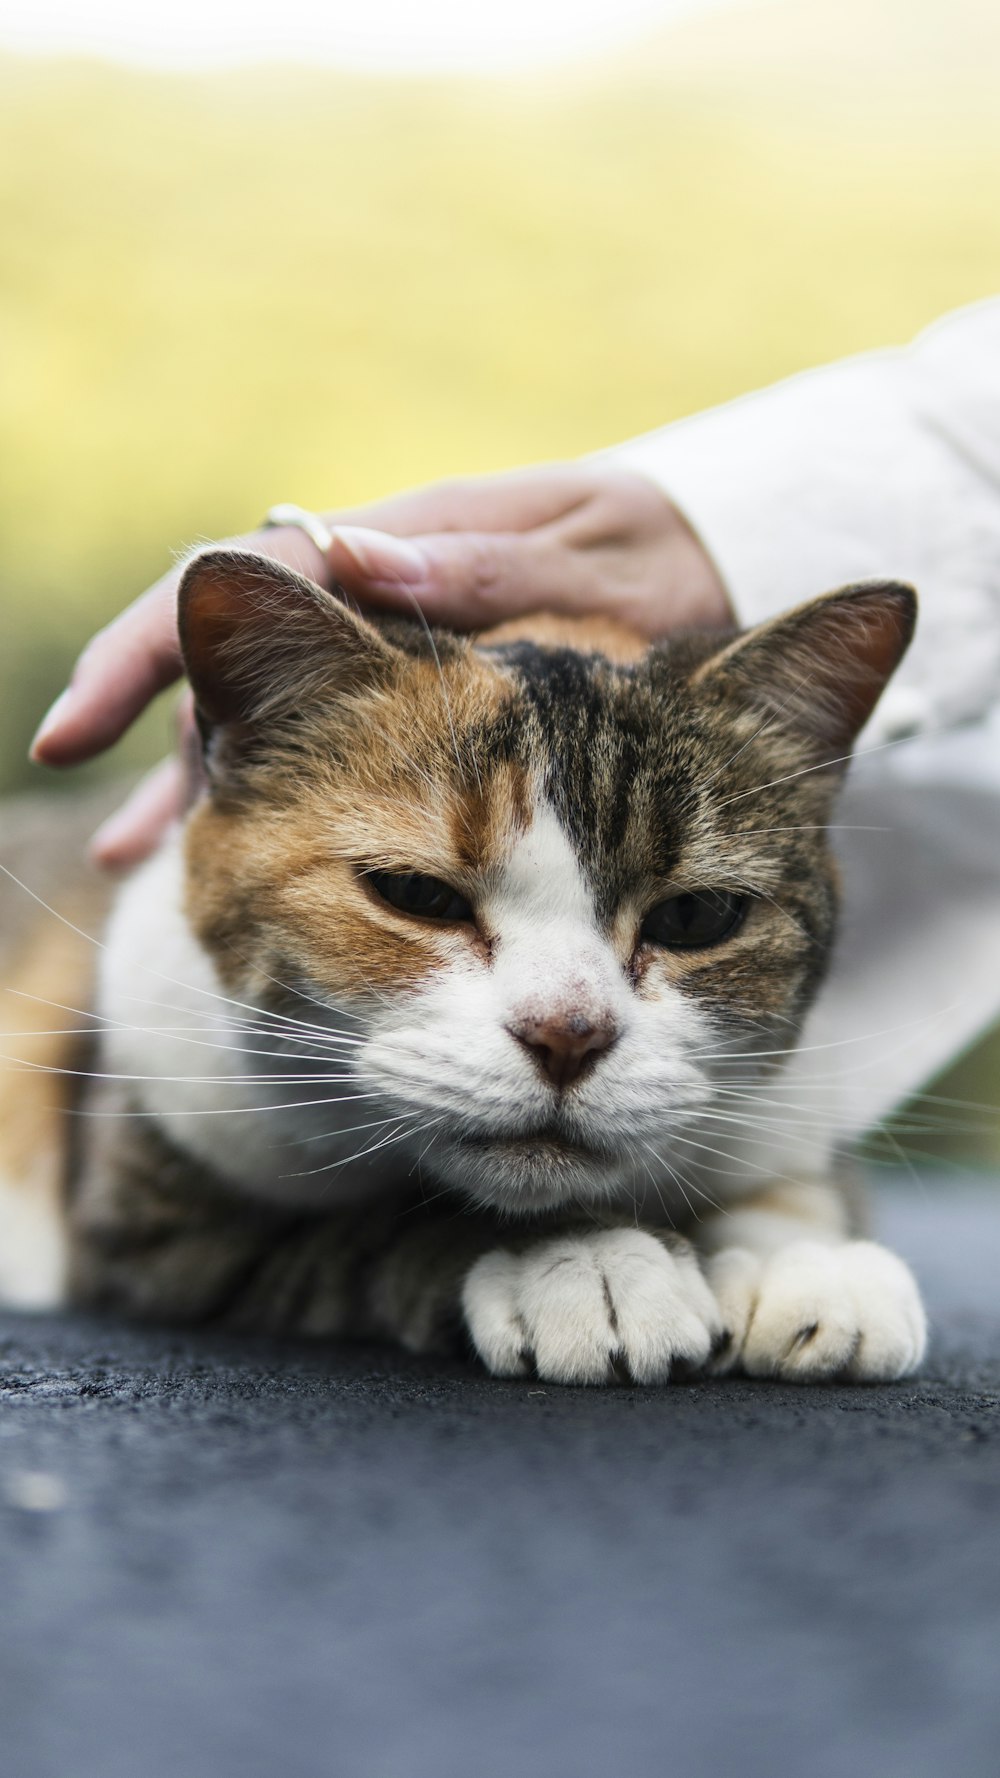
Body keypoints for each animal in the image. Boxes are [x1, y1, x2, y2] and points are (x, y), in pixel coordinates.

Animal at [0, 547, 925, 1379]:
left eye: (694, 916)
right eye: (417, 893)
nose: (567, 1034)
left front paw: (800, 1257)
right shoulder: (150, 1220)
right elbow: (359, 1232)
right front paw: (577, 1259)